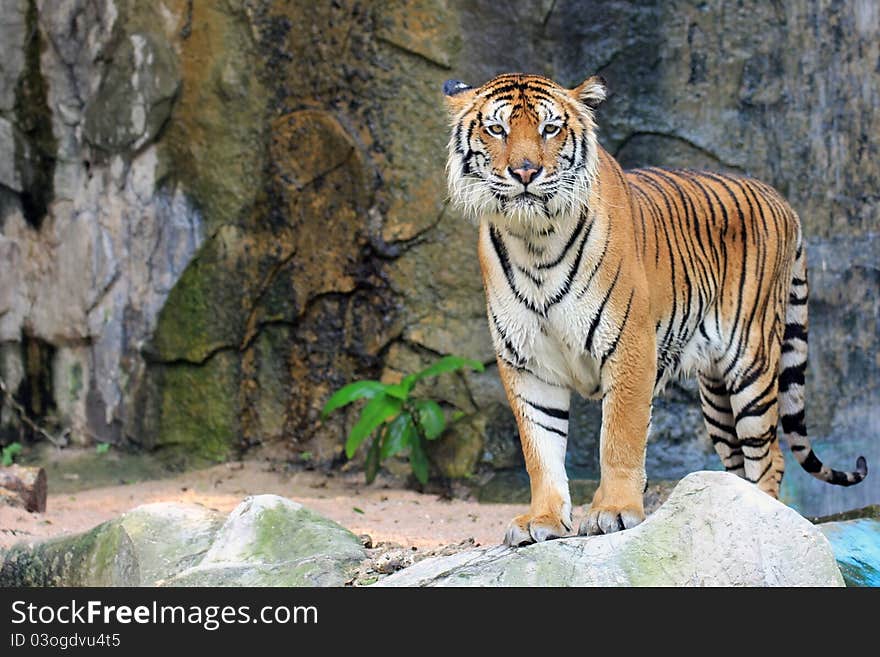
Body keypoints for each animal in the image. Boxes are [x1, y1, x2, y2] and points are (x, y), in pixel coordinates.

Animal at [444, 72, 868, 544]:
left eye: (549, 129)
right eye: (496, 129)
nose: (524, 172)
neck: (534, 239)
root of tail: (783, 200)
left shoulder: (628, 347)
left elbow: (620, 438)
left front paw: (612, 512)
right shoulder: (527, 363)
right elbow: (541, 449)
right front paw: (543, 519)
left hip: (751, 364)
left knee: (769, 457)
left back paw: (768, 521)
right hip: (715, 394)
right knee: (737, 463)